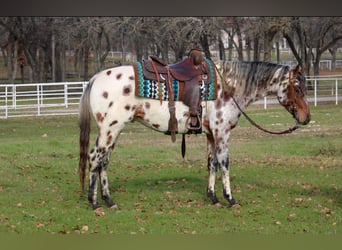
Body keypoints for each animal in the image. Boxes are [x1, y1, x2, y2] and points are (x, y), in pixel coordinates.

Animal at [77, 59, 310, 210]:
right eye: (297, 88)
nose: (306, 118)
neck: (228, 86)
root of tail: (96, 77)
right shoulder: (222, 133)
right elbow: (224, 163)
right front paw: (230, 199)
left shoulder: (211, 134)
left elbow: (212, 163)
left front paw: (213, 197)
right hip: (110, 129)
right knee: (95, 158)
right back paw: (95, 202)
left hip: (113, 131)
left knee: (104, 161)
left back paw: (108, 200)